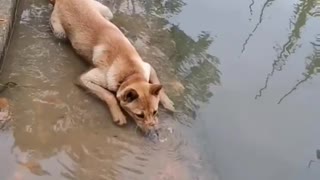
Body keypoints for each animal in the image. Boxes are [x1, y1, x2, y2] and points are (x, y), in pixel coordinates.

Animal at [48, 0, 175, 133]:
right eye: (139, 115)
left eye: (155, 112)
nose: (153, 131)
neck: (131, 74)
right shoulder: (84, 79)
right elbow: (109, 95)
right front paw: (118, 114)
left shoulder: (147, 67)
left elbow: (158, 84)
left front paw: (167, 102)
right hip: (60, 32)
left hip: (107, 13)